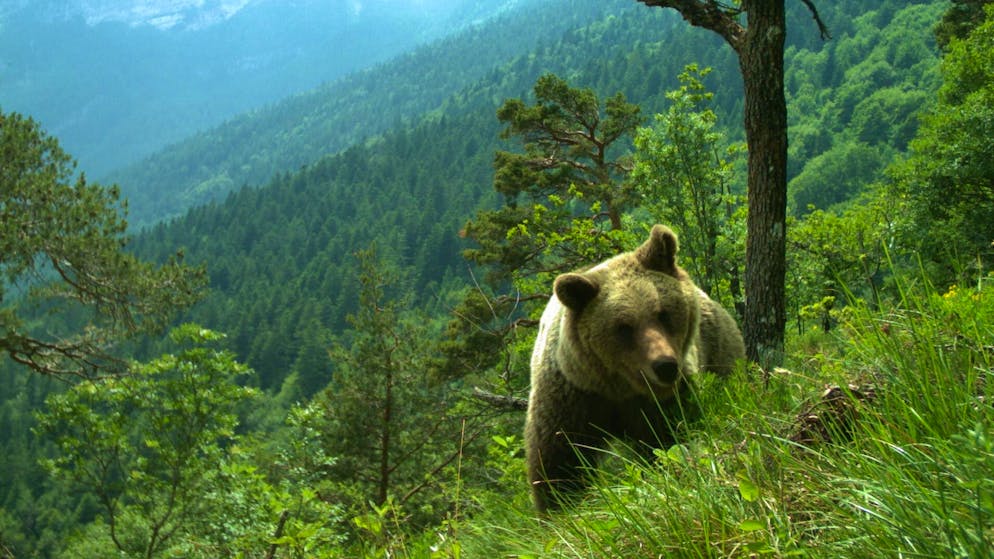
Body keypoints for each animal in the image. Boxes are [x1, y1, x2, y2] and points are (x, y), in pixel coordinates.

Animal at [525, 224, 746, 512]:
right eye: (623, 327)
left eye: (663, 313)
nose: (665, 366)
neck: (620, 387)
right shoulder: (573, 396)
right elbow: (560, 459)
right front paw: (560, 505)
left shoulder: (664, 400)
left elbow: (669, 439)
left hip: (720, 349)